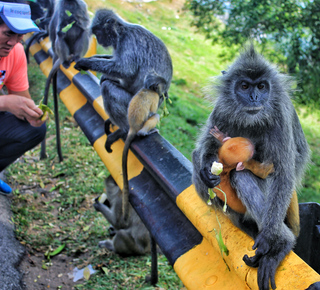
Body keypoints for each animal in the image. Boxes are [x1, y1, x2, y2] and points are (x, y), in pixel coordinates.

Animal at [74, 8, 172, 153]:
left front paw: (85, 62)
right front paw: (91, 59)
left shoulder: (128, 42)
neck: (122, 32)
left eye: (99, 33)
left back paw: (124, 130)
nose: (99, 40)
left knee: (107, 87)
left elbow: (126, 70)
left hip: (134, 106)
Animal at [122, 73, 168, 221]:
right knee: (155, 116)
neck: (147, 89)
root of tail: (133, 128)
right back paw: (145, 132)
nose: (165, 93)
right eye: (163, 87)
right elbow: (152, 113)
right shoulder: (154, 97)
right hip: (142, 126)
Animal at [192, 45, 310, 290]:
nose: (254, 97)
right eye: (245, 86)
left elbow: (284, 174)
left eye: (262, 86)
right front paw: (208, 170)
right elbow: (206, 144)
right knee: (196, 155)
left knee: (242, 177)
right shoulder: (221, 109)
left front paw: (271, 241)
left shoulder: (280, 115)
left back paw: (281, 243)